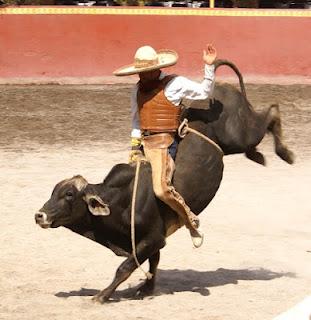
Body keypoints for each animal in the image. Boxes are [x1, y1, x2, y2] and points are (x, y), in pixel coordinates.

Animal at [34, 60, 294, 302]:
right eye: (53, 192)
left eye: (69, 195)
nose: (39, 215)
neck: (121, 201)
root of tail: (218, 89)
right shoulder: (152, 241)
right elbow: (153, 264)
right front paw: (147, 289)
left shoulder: (152, 238)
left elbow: (125, 267)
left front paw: (102, 295)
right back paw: (259, 155)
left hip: (240, 134)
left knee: (270, 114)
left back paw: (285, 153)